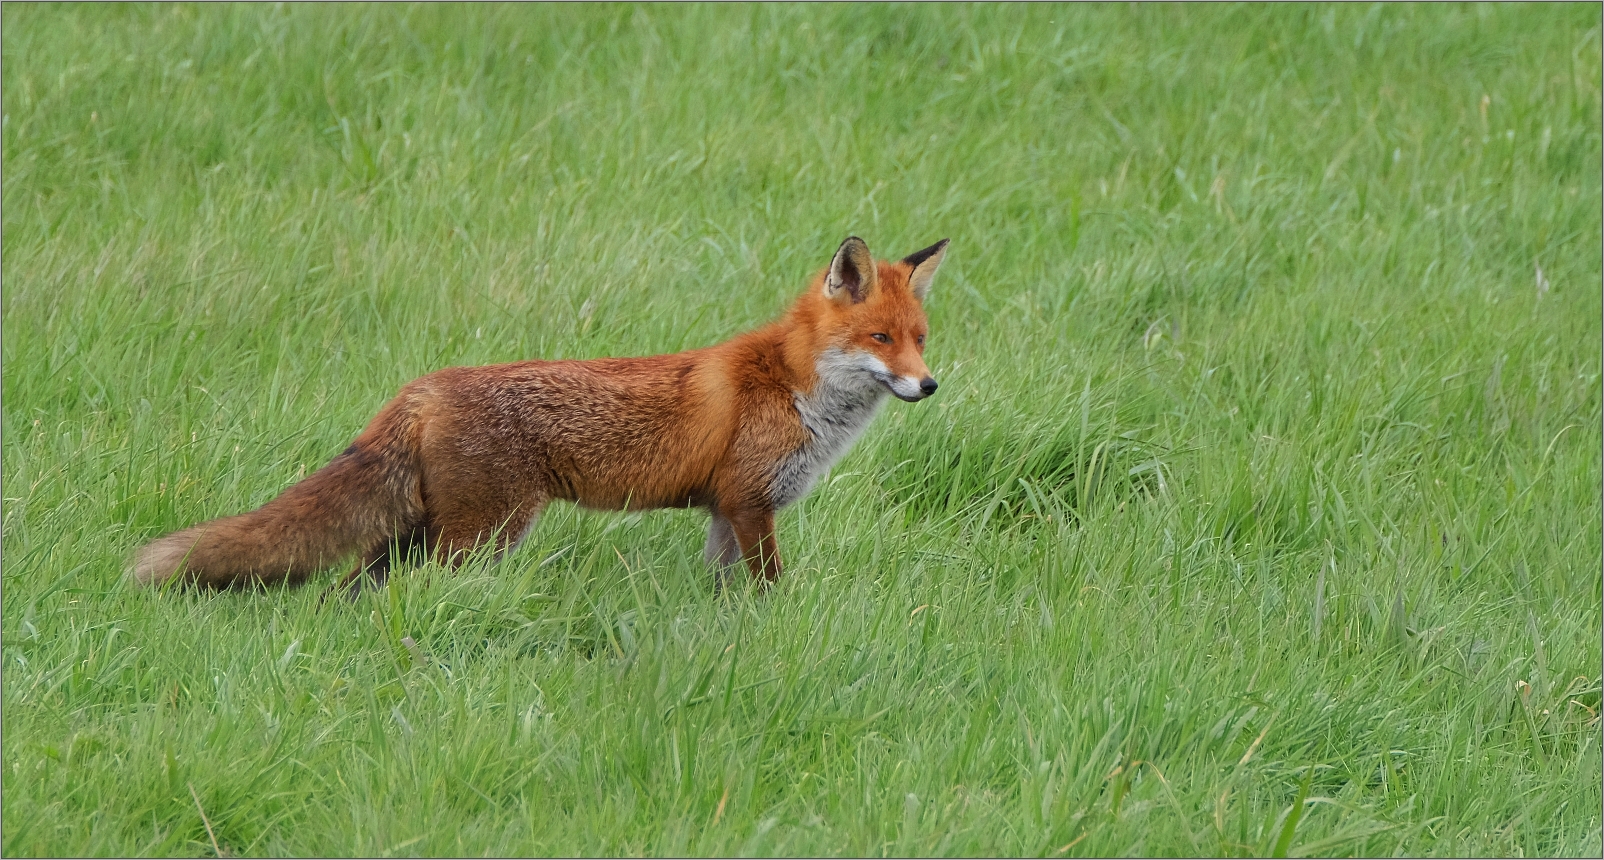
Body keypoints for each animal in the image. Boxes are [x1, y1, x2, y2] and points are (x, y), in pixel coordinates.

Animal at [134, 239, 949, 593]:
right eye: (881, 340)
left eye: (921, 338)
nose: (929, 384)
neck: (795, 387)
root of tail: (423, 386)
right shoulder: (751, 503)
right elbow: (771, 588)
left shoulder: (726, 509)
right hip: (480, 535)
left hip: (417, 533)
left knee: (355, 586)